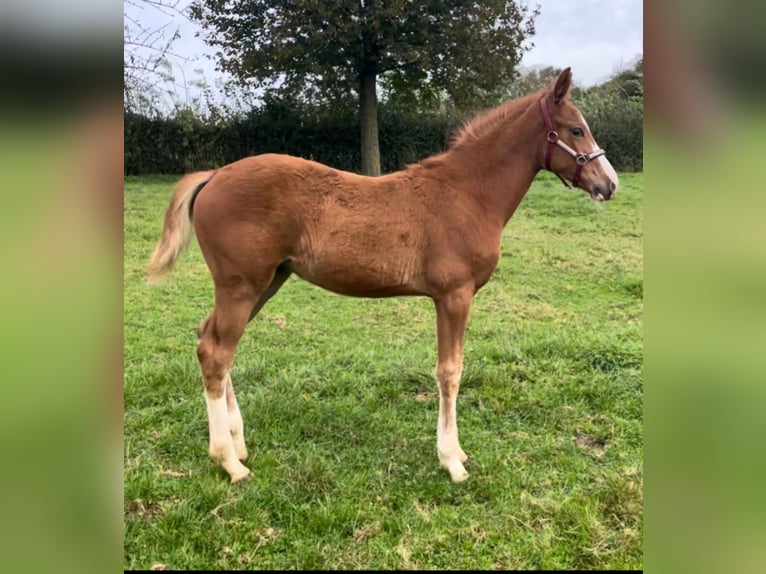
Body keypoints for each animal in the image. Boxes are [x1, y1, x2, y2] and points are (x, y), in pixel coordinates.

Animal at [148, 68, 616, 486]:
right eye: (576, 130)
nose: (609, 184)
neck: (467, 193)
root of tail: (214, 175)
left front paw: (457, 453)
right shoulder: (454, 295)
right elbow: (450, 372)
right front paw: (452, 461)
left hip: (266, 282)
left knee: (211, 339)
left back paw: (238, 442)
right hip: (241, 285)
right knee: (215, 353)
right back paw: (229, 462)